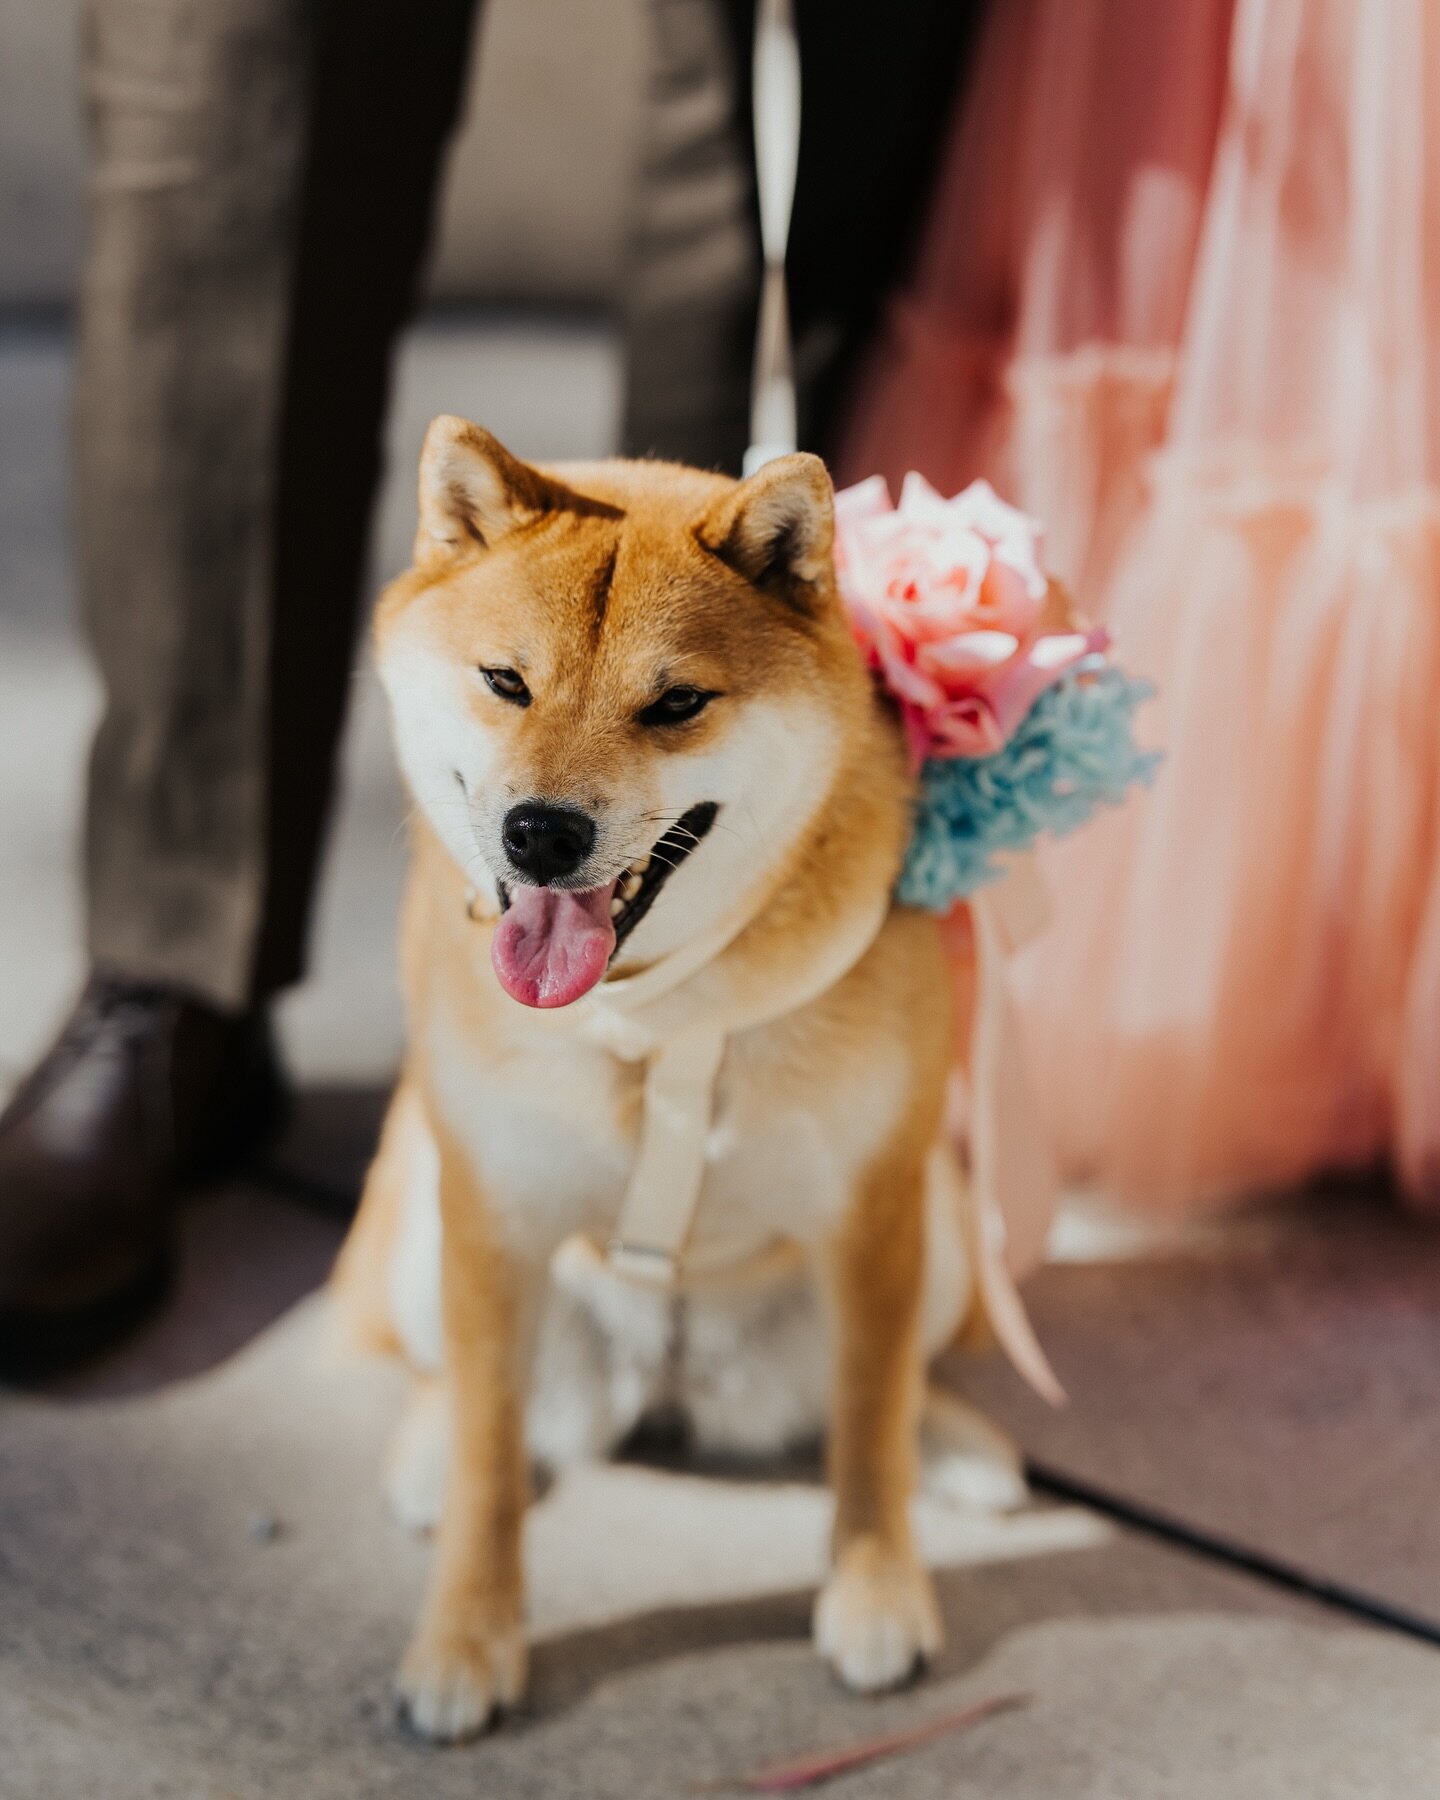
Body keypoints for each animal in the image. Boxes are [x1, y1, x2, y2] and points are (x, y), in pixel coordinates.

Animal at [334, 417, 1022, 1742]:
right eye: (505, 682)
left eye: (676, 704)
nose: (541, 833)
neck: (652, 1014)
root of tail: (667, 1384)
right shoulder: (493, 1210)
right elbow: (493, 1452)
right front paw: (466, 1638)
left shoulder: (873, 1206)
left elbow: (870, 1422)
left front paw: (874, 1590)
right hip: (422, 1228)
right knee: (460, 1385)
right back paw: (424, 1452)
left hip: (947, 1228)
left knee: (895, 1383)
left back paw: (960, 1444)